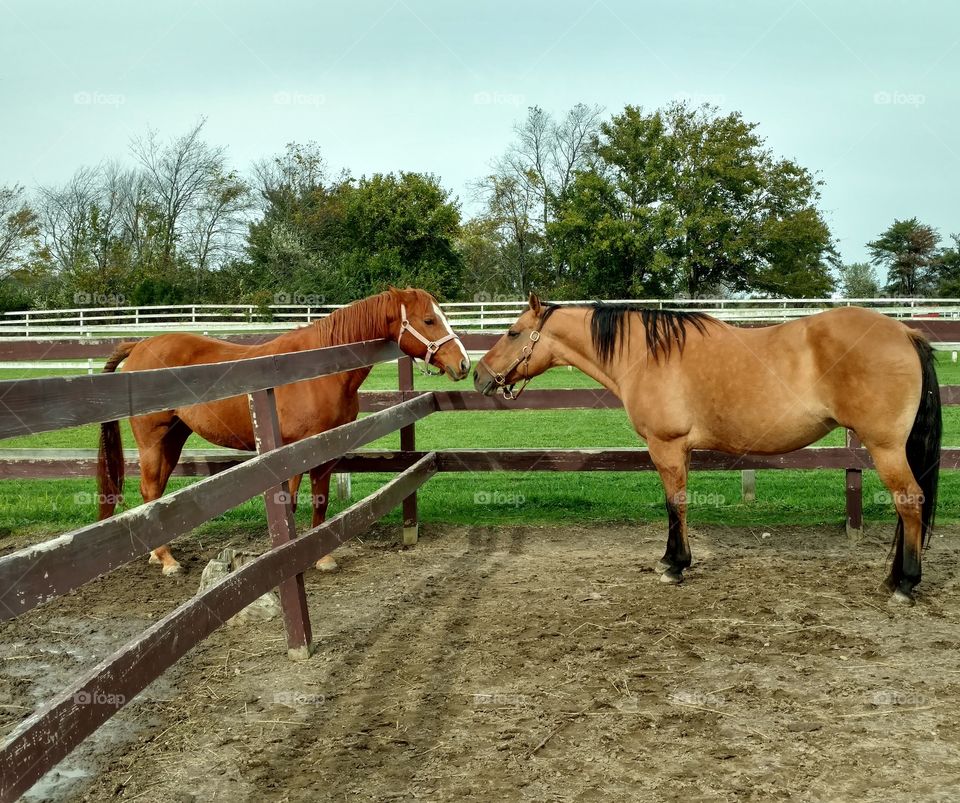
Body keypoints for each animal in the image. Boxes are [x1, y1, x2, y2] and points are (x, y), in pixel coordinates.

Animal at [97, 287, 470, 576]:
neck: (318, 371)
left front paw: (323, 557)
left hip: (173, 438)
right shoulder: (292, 454)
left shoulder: (326, 452)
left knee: (156, 493)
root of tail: (139, 346)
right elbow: (289, 504)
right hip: (152, 440)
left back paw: (156, 555)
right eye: (429, 320)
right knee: (149, 490)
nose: (463, 363)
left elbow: (320, 503)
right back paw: (167, 561)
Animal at [474, 295, 941, 604]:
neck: (645, 353)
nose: (478, 376)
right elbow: (678, 504)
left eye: (513, 332)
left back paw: (904, 585)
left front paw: (675, 565)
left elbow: (674, 503)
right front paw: (672, 560)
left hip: (885, 447)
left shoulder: (665, 446)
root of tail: (903, 330)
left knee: (909, 502)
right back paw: (894, 579)